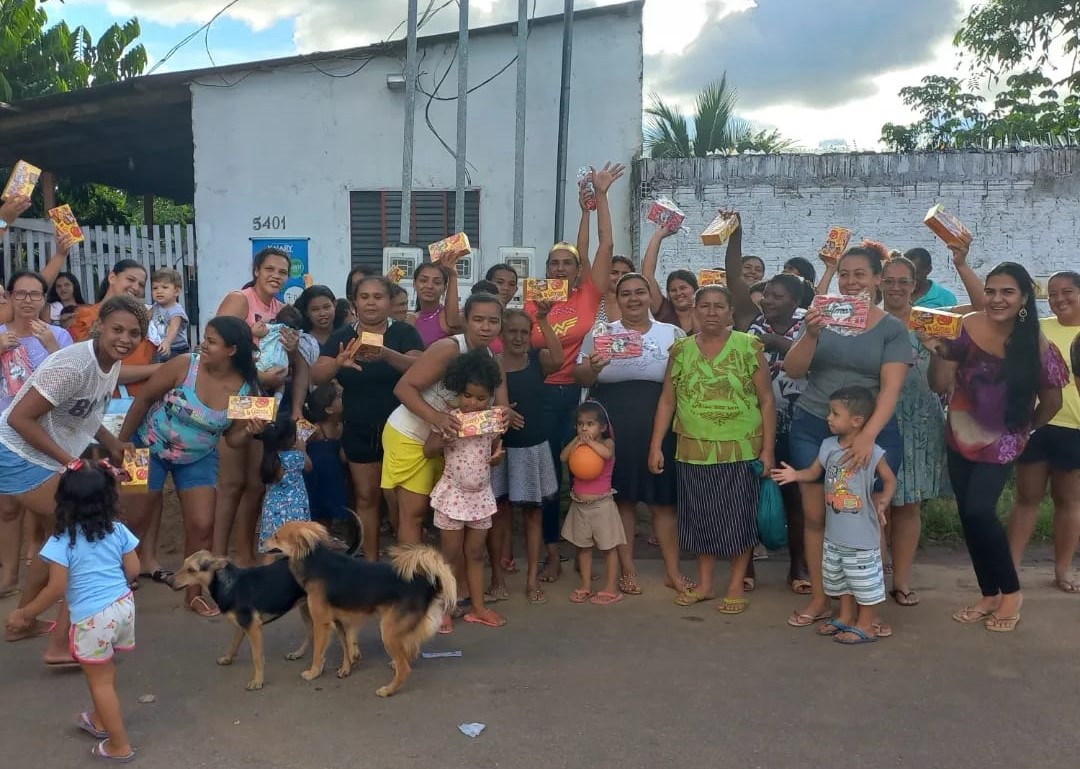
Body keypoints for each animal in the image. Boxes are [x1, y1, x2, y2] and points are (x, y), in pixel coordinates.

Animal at [171, 552, 349, 691]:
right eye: (183, 564)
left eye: (191, 570)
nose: (169, 580)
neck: (227, 583)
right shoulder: (241, 625)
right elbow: (233, 644)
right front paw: (227, 659)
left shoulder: (253, 627)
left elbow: (257, 658)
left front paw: (257, 681)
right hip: (305, 607)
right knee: (313, 633)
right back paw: (299, 654)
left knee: (342, 639)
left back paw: (338, 668)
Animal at [270, 522, 460, 695]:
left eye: (276, 536)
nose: (264, 543)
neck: (315, 562)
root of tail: (427, 583)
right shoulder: (339, 621)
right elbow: (347, 645)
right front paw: (347, 667)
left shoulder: (321, 623)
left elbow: (318, 651)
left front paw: (313, 672)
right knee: (411, 647)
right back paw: (396, 663)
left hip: (389, 631)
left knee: (405, 668)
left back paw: (388, 690)